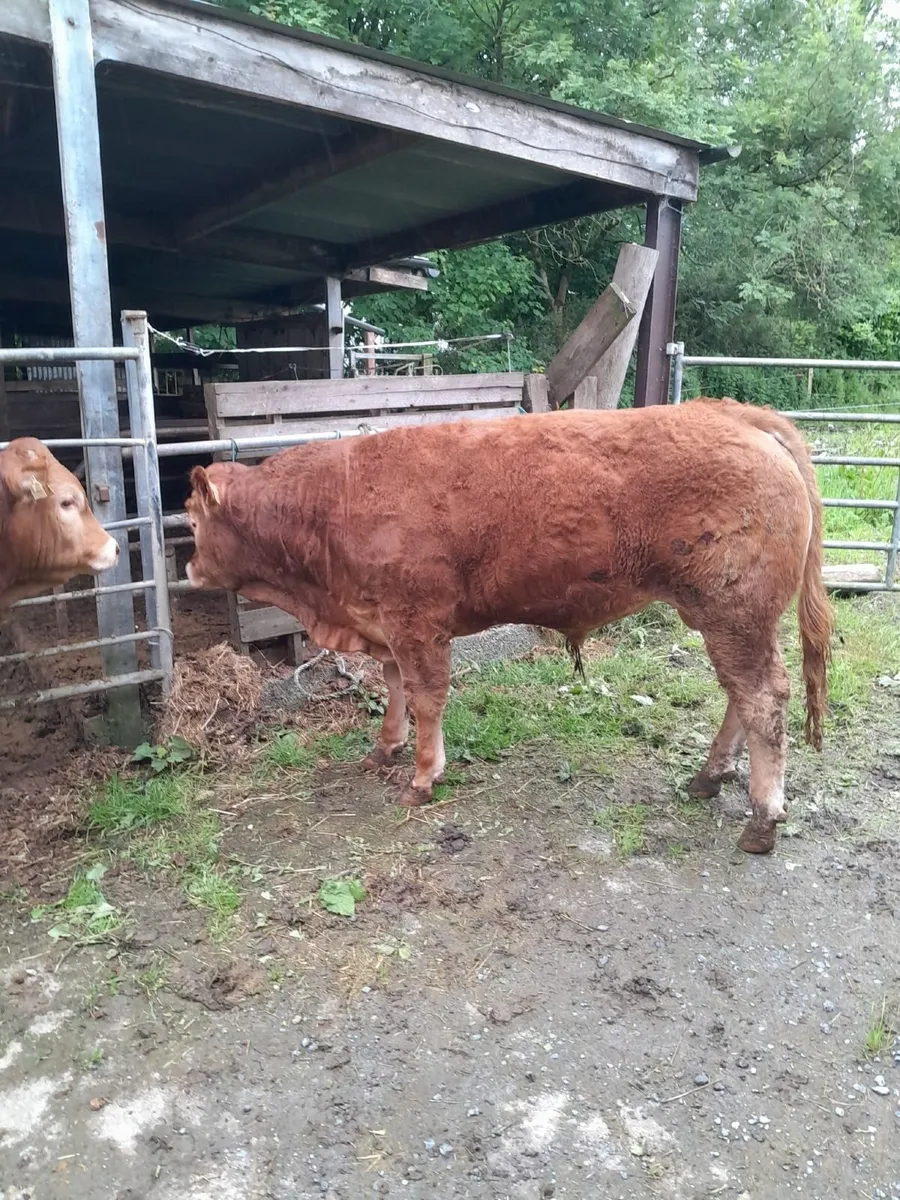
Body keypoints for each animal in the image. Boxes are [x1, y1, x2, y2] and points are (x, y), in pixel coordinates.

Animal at [185, 397, 834, 856]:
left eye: (190, 519)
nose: (187, 568)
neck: (334, 501)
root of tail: (731, 413)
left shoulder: (417, 622)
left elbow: (427, 697)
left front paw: (423, 776)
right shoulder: (383, 623)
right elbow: (393, 686)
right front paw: (385, 748)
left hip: (735, 613)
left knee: (764, 700)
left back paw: (762, 819)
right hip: (727, 619)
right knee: (741, 697)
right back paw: (709, 777)